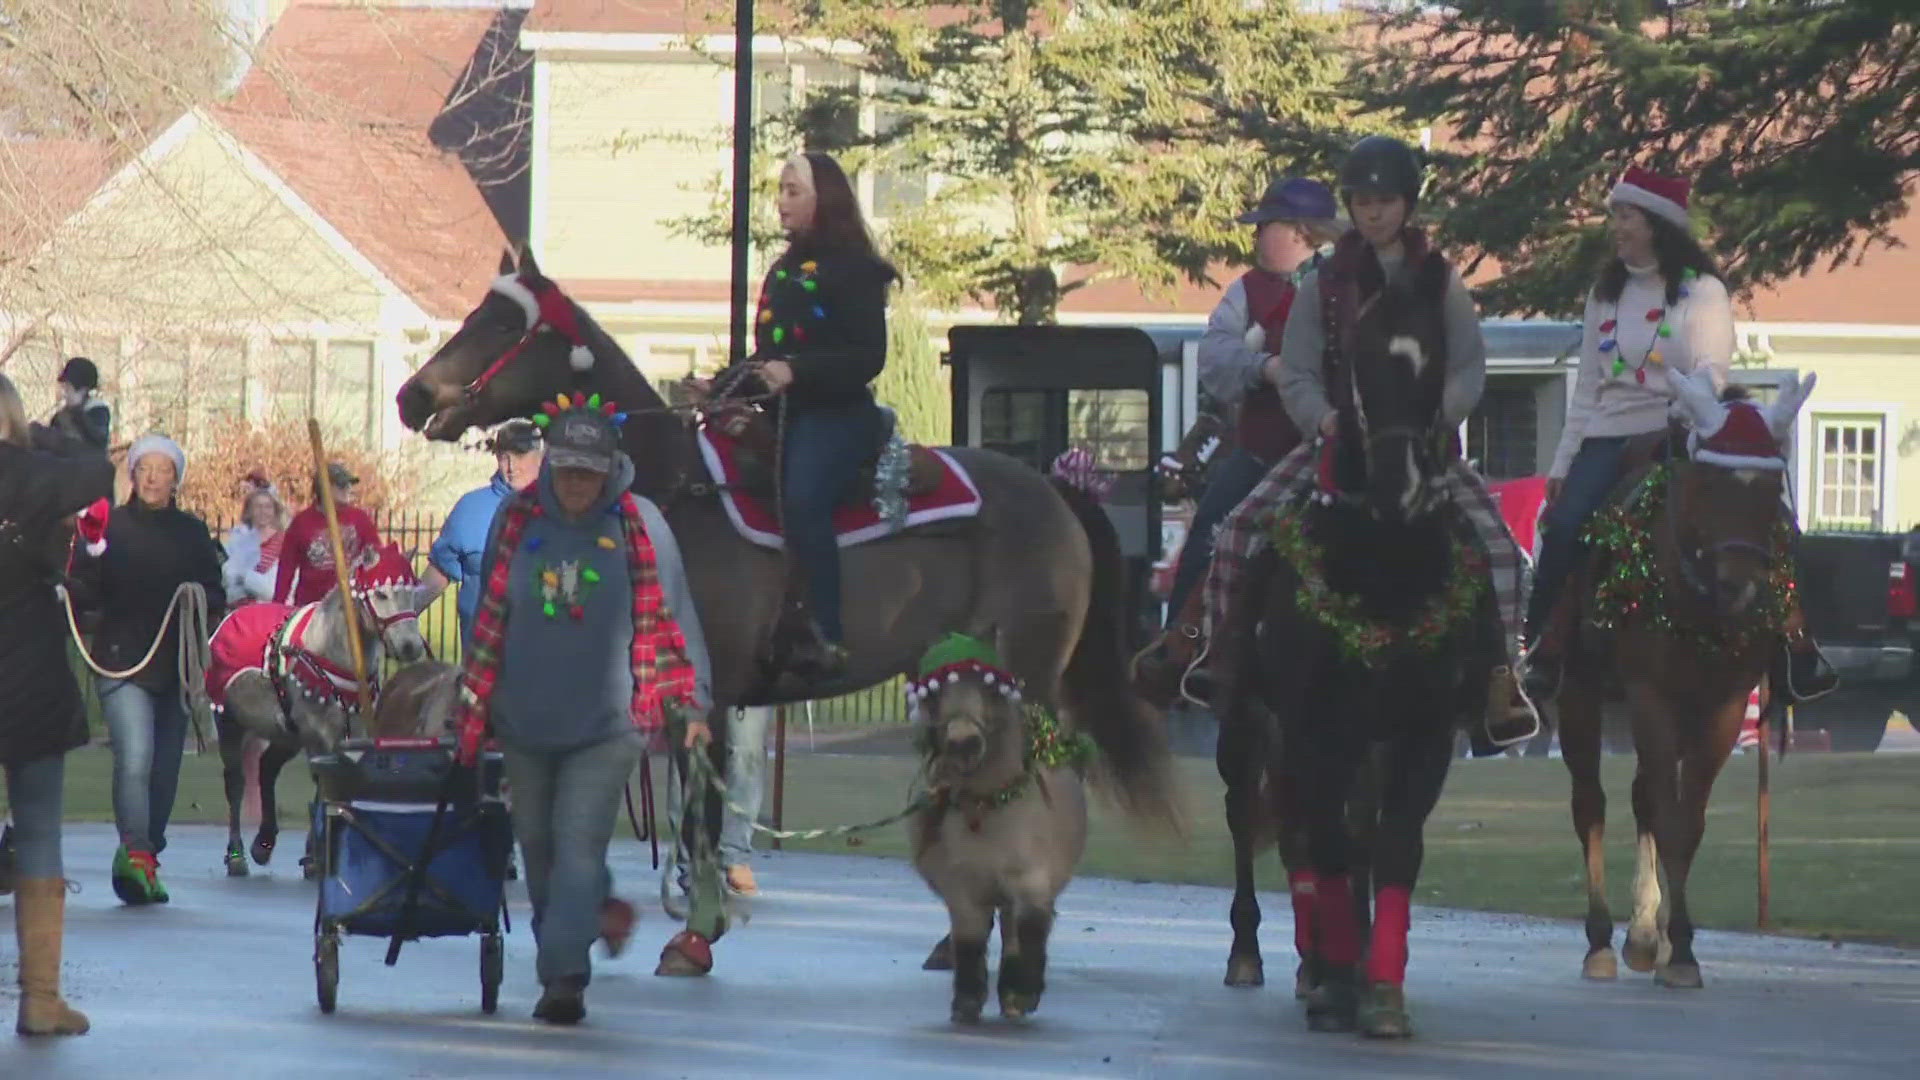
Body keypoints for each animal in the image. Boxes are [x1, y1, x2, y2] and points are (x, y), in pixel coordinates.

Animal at [910, 645, 1090, 1014]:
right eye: (932, 695)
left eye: (992, 690)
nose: (963, 744)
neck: (985, 812)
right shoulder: (963, 890)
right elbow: (969, 940)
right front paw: (967, 1000)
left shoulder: (1030, 881)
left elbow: (1030, 931)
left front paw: (1022, 994)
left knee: (1012, 930)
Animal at [1213, 261, 1497, 1037]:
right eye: (1359, 361)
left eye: (1433, 357)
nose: (1400, 484)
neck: (1385, 571)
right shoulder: (1316, 727)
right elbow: (1327, 842)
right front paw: (1339, 983)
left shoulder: (1422, 730)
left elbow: (1393, 845)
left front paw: (1381, 990)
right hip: (1248, 726)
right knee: (1263, 824)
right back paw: (1264, 956)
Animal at [1559, 367, 1812, 983]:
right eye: (1708, 483)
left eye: (1771, 487)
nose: (1741, 587)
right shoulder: (1650, 697)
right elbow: (1668, 818)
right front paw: (1678, 949)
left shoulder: (1721, 706)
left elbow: (1687, 819)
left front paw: (1673, 942)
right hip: (1579, 693)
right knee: (1590, 804)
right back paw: (1600, 940)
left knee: (1642, 796)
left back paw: (1643, 934)